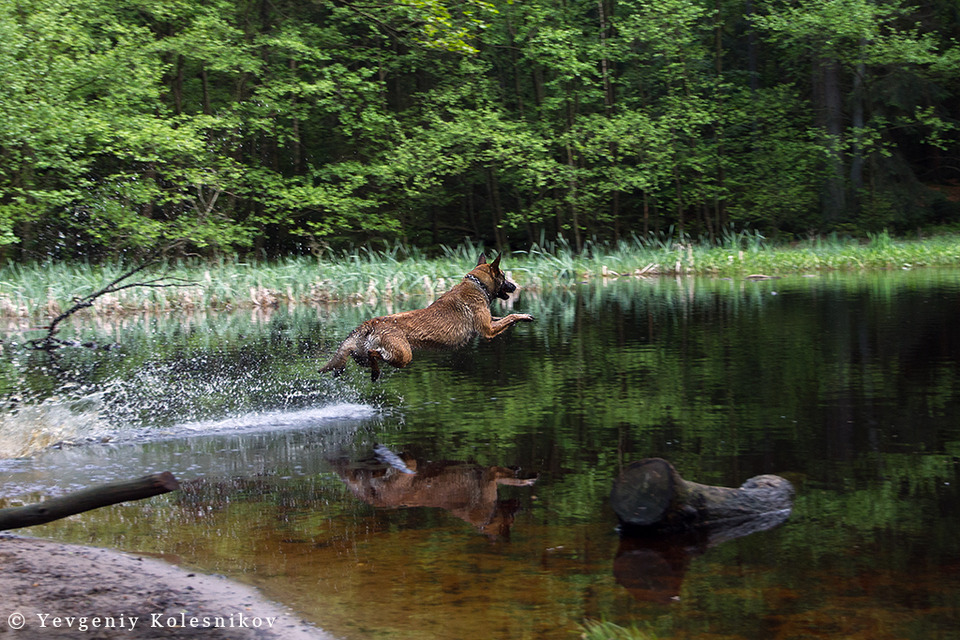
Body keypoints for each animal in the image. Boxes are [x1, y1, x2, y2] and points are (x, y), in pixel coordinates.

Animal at [320, 255, 532, 380]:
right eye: (504, 276)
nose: (515, 287)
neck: (477, 285)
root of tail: (372, 322)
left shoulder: (489, 322)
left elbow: (502, 316)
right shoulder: (488, 330)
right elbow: (510, 316)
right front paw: (524, 315)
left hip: (363, 354)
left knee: (356, 357)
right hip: (403, 355)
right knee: (374, 354)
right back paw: (375, 373)